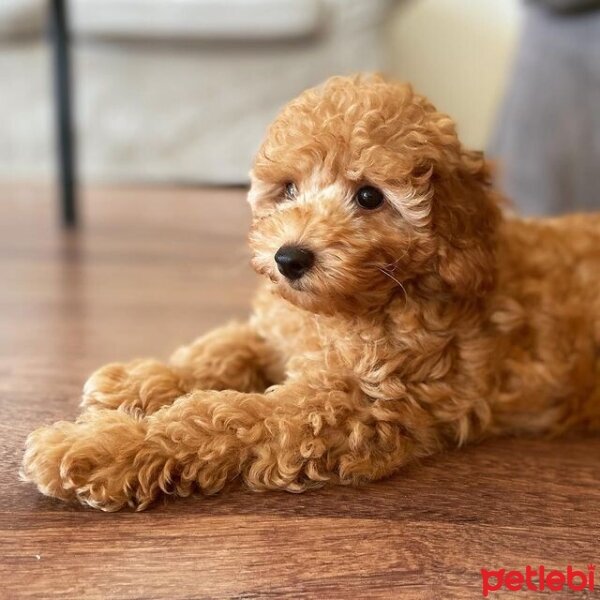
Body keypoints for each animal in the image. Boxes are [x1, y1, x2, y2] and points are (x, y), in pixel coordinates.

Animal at [21, 72, 596, 508]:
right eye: (289, 189)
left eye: (369, 197)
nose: (289, 258)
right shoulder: (279, 334)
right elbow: (223, 350)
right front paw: (141, 380)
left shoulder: (349, 409)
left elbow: (220, 416)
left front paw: (96, 446)